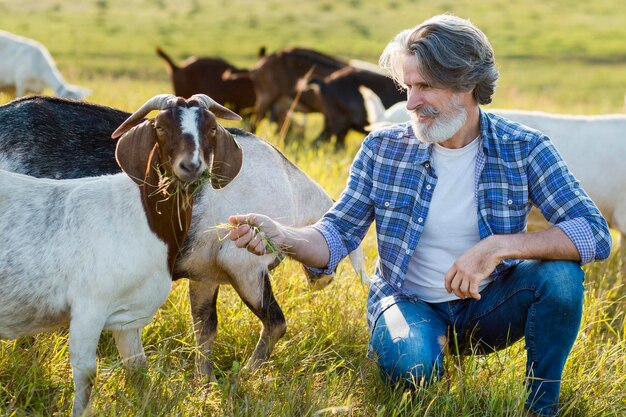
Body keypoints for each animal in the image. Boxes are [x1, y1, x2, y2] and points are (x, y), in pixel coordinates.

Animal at [0, 92, 241, 414]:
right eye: (160, 127)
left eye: (211, 128)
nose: (191, 166)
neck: (142, 215)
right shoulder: (89, 306)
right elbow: (86, 373)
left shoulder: (127, 318)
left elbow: (138, 369)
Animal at [0, 95, 368, 384]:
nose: (324, 278)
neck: (290, 189)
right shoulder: (243, 264)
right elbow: (276, 323)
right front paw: (242, 377)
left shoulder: (206, 274)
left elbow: (205, 328)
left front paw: (202, 384)